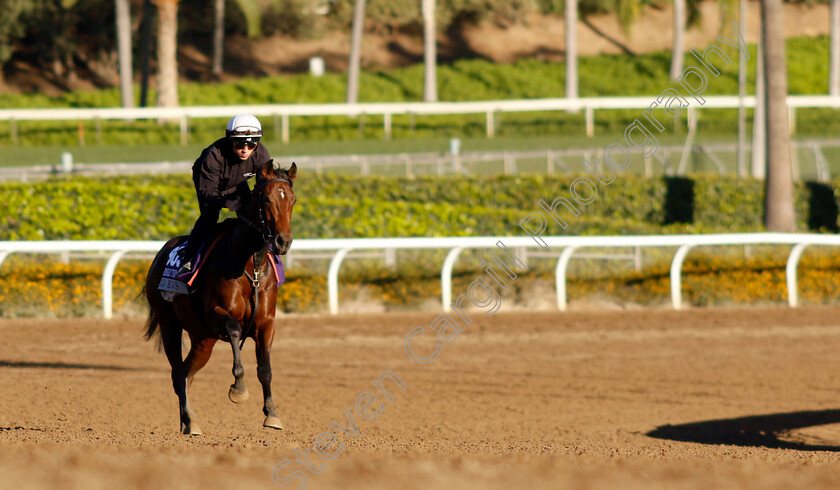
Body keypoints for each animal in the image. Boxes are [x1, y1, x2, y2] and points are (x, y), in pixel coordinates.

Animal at [144, 160, 298, 432]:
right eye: (266, 199)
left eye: (293, 200)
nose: (283, 242)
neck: (250, 267)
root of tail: (161, 253)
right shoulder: (215, 313)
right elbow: (235, 330)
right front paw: (239, 389)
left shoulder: (266, 322)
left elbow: (265, 368)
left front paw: (272, 414)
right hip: (169, 323)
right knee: (177, 372)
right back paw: (189, 422)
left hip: (203, 339)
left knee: (186, 372)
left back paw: (188, 419)